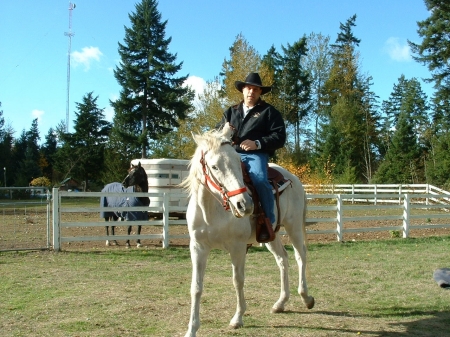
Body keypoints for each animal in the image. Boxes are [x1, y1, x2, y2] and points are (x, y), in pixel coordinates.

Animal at [181, 123, 314, 336]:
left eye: (238, 161)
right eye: (214, 166)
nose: (244, 204)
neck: (213, 209)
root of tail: (293, 178)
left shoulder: (237, 247)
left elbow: (238, 280)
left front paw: (238, 318)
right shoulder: (198, 248)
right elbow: (196, 287)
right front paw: (192, 328)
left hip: (293, 227)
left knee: (300, 256)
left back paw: (306, 297)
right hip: (271, 235)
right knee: (282, 259)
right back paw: (281, 303)